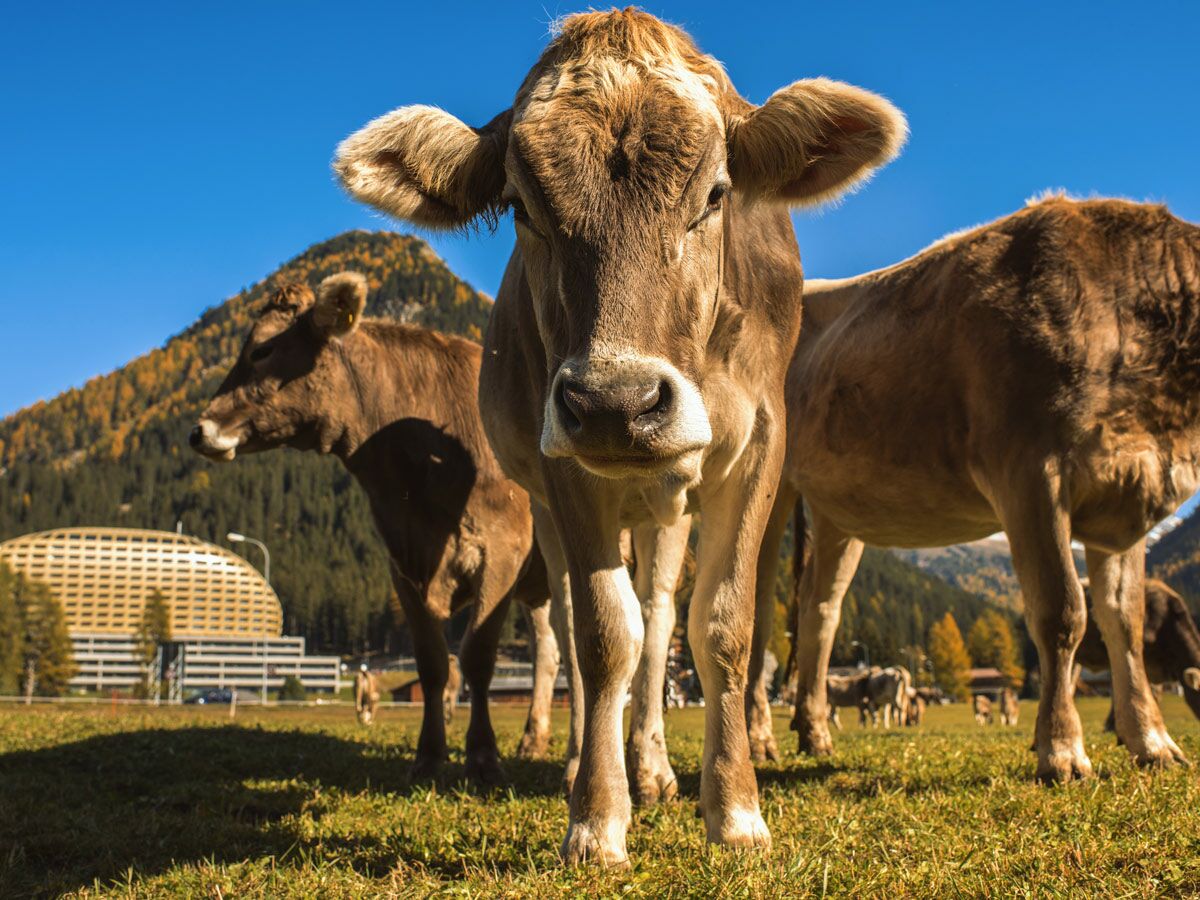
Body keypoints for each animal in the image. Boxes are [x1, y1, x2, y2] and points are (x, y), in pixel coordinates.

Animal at [190, 273, 556, 784]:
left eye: (262, 349)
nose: (198, 430)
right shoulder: (401, 561)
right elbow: (431, 663)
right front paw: (429, 757)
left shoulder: (503, 551)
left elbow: (477, 657)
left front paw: (483, 758)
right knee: (555, 653)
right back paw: (536, 740)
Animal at [333, 8, 905, 864]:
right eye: (522, 206)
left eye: (716, 193)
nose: (616, 402)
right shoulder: (563, 462)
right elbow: (604, 636)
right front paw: (597, 817)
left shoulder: (758, 447)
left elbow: (721, 627)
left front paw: (735, 811)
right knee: (577, 630)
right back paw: (583, 760)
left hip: (668, 503)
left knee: (662, 614)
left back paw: (657, 767)